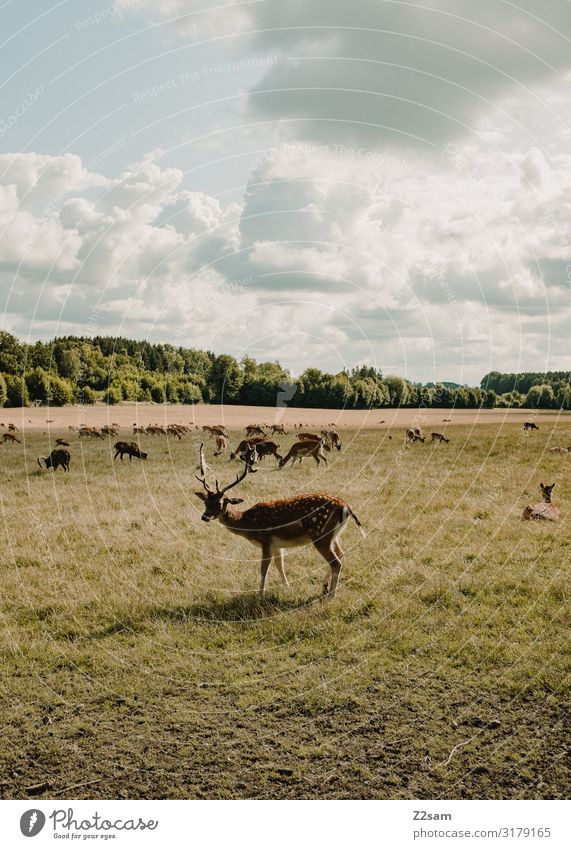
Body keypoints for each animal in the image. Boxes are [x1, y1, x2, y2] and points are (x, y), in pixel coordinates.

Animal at [194, 444, 366, 596]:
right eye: (206, 502)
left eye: (220, 503)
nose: (204, 517)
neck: (248, 523)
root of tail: (346, 506)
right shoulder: (277, 545)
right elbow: (279, 565)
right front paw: (287, 587)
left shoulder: (266, 539)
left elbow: (264, 568)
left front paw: (260, 595)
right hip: (334, 535)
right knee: (341, 554)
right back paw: (324, 587)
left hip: (320, 533)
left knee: (335, 562)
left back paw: (331, 595)